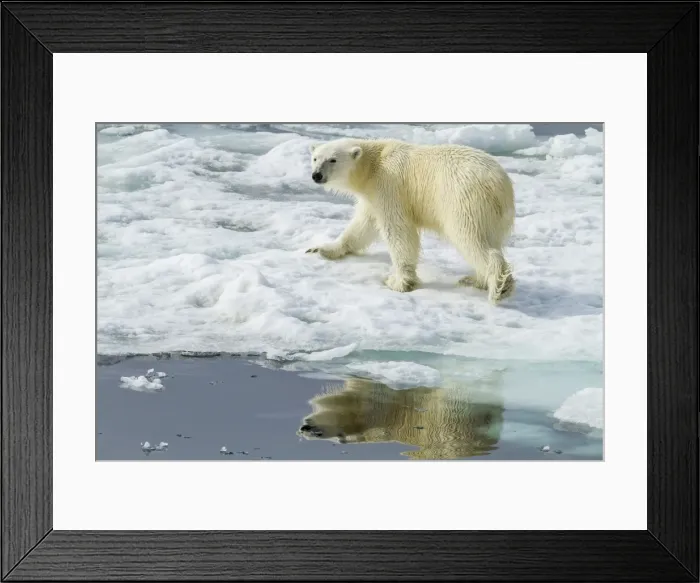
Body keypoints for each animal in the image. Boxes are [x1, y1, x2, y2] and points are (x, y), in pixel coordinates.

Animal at [306, 137, 516, 304]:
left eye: (332, 159)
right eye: (315, 158)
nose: (316, 175)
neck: (373, 164)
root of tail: (500, 184)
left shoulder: (389, 186)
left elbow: (398, 230)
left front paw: (399, 282)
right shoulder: (373, 197)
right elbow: (363, 225)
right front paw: (321, 249)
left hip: (464, 200)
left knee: (470, 238)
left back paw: (499, 286)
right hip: (494, 215)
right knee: (489, 239)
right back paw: (475, 280)